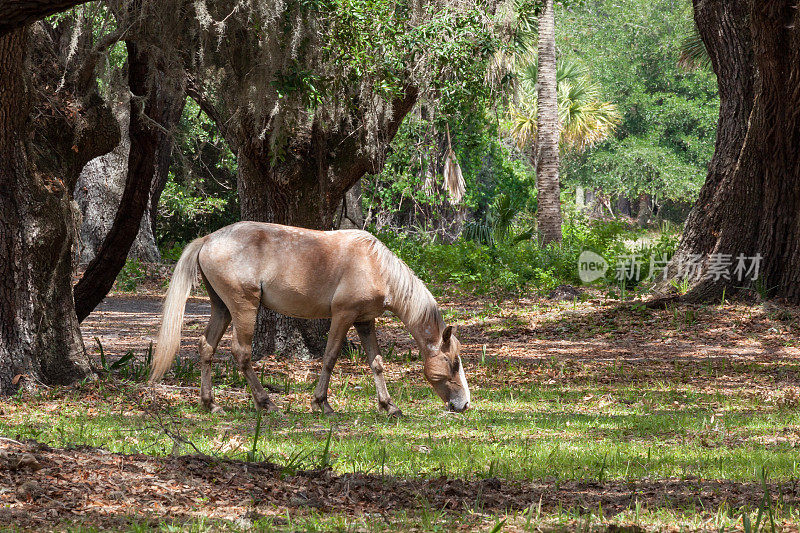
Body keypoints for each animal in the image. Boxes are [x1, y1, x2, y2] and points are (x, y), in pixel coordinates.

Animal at [150, 220, 468, 416]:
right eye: (453, 363)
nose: (464, 404)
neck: (375, 265)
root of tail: (208, 239)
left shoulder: (365, 322)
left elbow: (376, 363)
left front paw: (389, 406)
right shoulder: (343, 316)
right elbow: (330, 358)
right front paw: (321, 403)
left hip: (222, 309)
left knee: (207, 348)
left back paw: (210, 404)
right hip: (243, 308)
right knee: (241, 353)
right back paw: (265, 403)